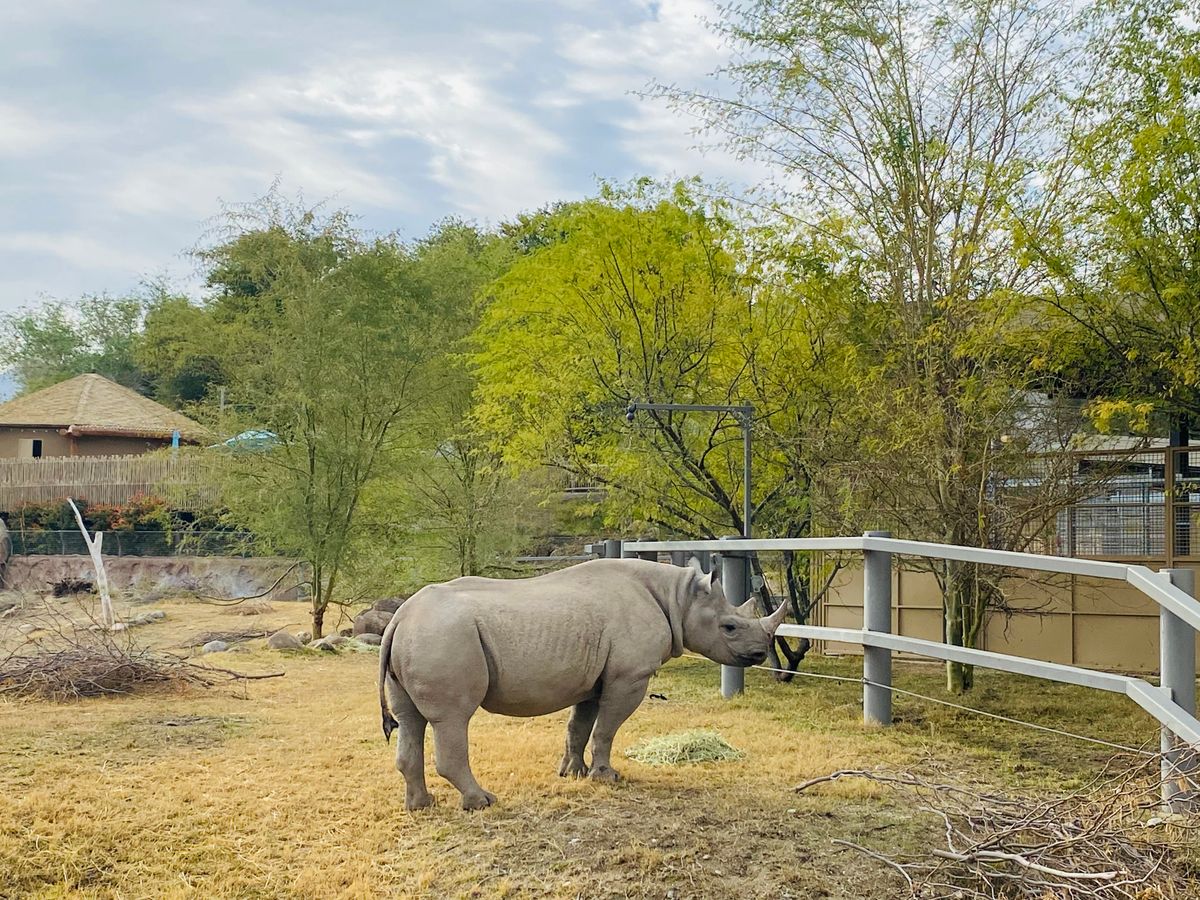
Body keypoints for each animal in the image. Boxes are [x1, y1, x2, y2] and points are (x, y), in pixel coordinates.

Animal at [378, 557, 789, 811]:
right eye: (730, 627)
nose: (758, 653)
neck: (678, 598)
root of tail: (399, 617)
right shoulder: (630, 675)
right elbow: (607, 728)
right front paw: (607, 776)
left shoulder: (594, 677)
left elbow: (580, 725)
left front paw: (572, 773)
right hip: (443, 636)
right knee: (452, 718)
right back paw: (482, 802)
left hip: (421, 636)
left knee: (410, 719)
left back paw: (421, 806)